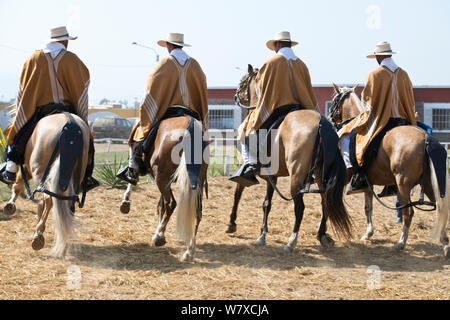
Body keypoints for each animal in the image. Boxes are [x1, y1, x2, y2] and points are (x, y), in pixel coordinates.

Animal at [2, 112, 90, 258]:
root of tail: (70, 123)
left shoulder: (26, 167)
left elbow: (18, 184)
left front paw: (10, 205)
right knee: (66, 203)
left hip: (40, 172)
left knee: (49, 199)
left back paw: (39, 235)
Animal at [118, 116, 207, 262]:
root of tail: (190, 125)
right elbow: (161, 205)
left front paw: (126, 200)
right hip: (196, 182)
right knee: (196, 211)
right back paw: (189, 250)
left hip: (162, 180)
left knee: (171, 203)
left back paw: (157, 236)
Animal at [227, 64, 354, 250]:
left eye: (243, 82)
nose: (236, 96)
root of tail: (321, 124)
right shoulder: (272, 177)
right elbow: (267, 204)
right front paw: (262, 234)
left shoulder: (249, 173)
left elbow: (238, 193)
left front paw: (232, 224)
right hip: (321, 176)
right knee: (326, 202)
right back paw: (321, 235)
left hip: (296, 177)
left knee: (300, 207)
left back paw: (292, 241)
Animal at [328, 85, 448, 258]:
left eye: (334, 102)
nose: (330, 119)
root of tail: (425, 138)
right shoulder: (367, 183)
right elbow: (368, 208)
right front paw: (368, 234)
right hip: (429, 185)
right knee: (440, 208)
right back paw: (445, 244)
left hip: (403, 185)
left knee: (408, 213)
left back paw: (400, 243)